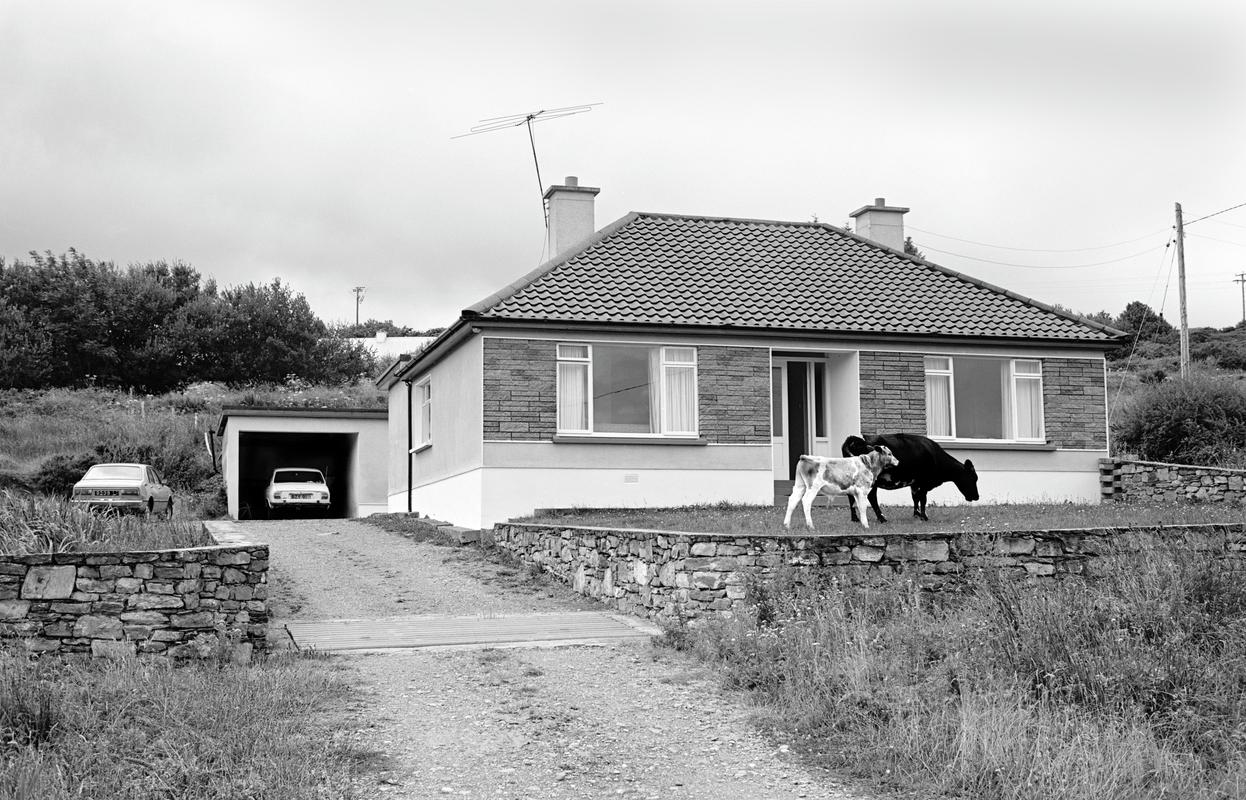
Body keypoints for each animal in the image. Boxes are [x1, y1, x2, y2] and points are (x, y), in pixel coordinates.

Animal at [842, 433, 976, 520]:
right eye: (973, 478)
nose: (977, 496)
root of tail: (857, 440)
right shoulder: (923, 482)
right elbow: (923, 498)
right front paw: (924, 517)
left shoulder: (915, 483)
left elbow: (915, 498)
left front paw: (916, 514)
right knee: (871, 496)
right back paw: (882, 518)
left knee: (851, 496)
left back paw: (855, 518)